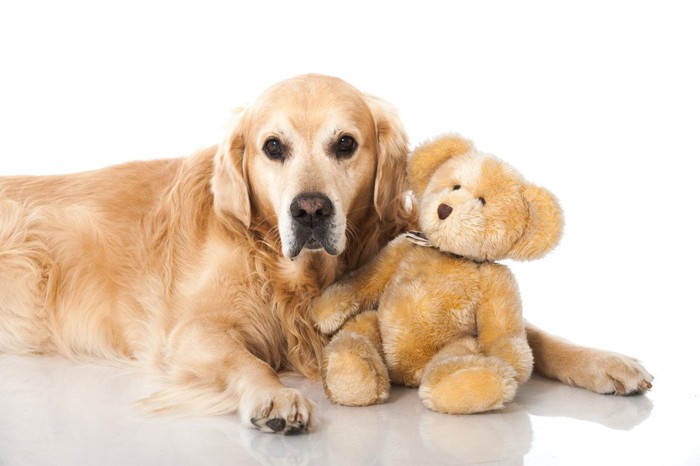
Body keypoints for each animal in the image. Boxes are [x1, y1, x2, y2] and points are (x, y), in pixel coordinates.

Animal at [0, 73, 652, 434]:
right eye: (272, 147)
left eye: (345, 144)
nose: (310, 211)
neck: (293, 270)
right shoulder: (188, 333)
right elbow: (248, 361)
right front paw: (274, 396)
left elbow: (534, 334)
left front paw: (603, 361)